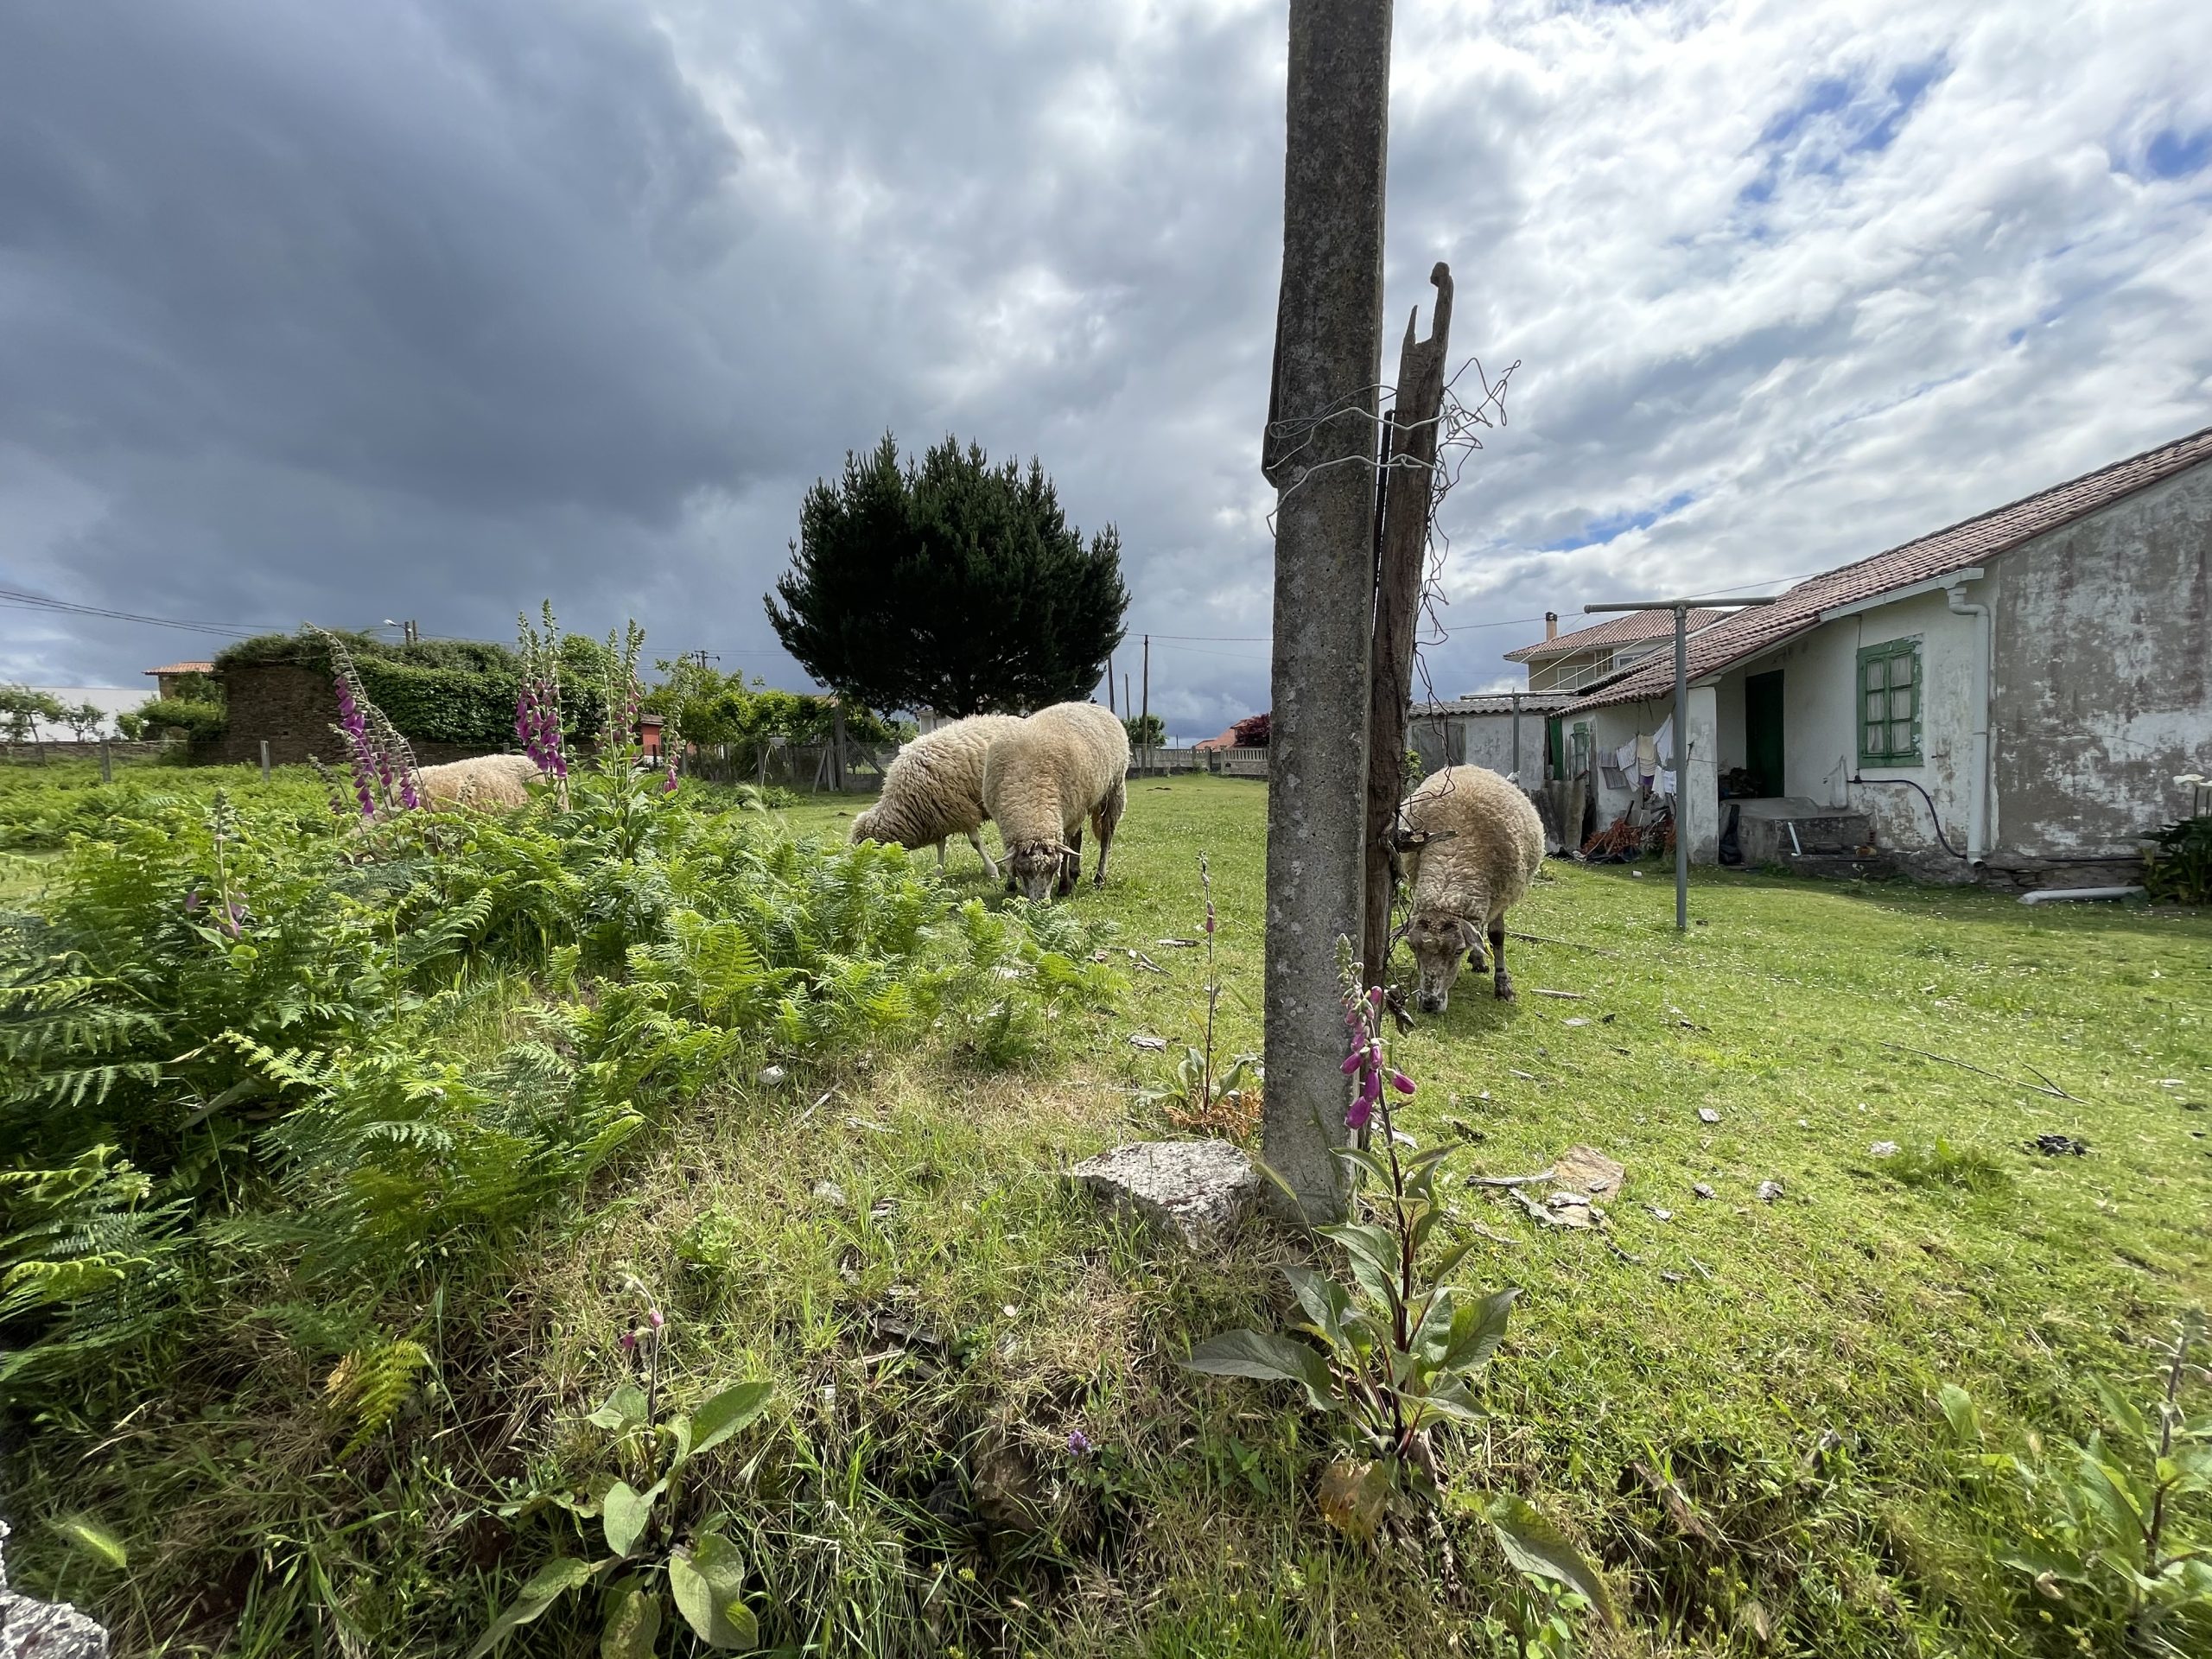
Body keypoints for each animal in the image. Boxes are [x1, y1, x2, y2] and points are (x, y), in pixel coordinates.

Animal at [849, 716, 1021, 885]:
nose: (859, 881)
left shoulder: (962, 809)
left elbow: (975, 843)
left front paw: (993, 872)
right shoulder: (939, 816)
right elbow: (941, 845)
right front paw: (937, 875)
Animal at [986, 703, 1132, 911]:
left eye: (1052, 868)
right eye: (1023, 870)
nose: (1042, 904)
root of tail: (1097, 707)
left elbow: (1065, 852)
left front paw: (1064, 886)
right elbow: (1009, 854)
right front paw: (1011, 882)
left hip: (1113, 790)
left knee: (1106, 837)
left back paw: (1099, 878)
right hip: (1077, 807)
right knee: (1079, 837)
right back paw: (1075, 872)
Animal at [1407, 765, 1548, 1013]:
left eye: (1457, 950)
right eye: (1413, 948)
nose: (1429, 1003)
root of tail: (1473, 766)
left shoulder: (1502, 895)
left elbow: (1497, 935)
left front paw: (1503, 986)